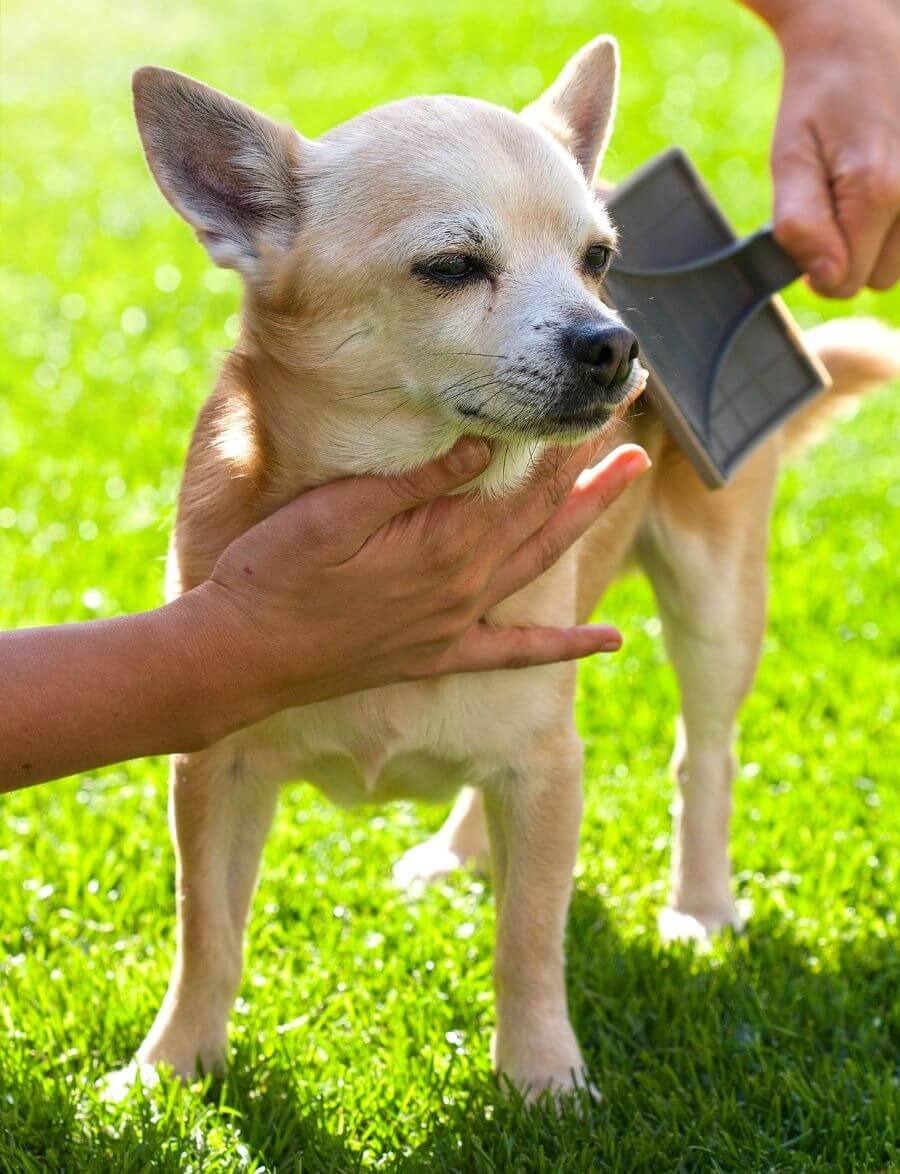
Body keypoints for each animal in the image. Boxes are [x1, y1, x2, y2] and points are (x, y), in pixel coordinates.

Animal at [121, 36, 900, 1098]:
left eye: (599, 261)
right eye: (451, 268)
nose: (617, 342)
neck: (424, 502)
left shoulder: (548, 771)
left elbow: (529, 940)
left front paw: (543, 1081)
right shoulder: (215, 769)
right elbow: (208, 932)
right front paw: (172, 1070)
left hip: (715, 603)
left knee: (702, 756)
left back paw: (700, 906)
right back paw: (460, 853)